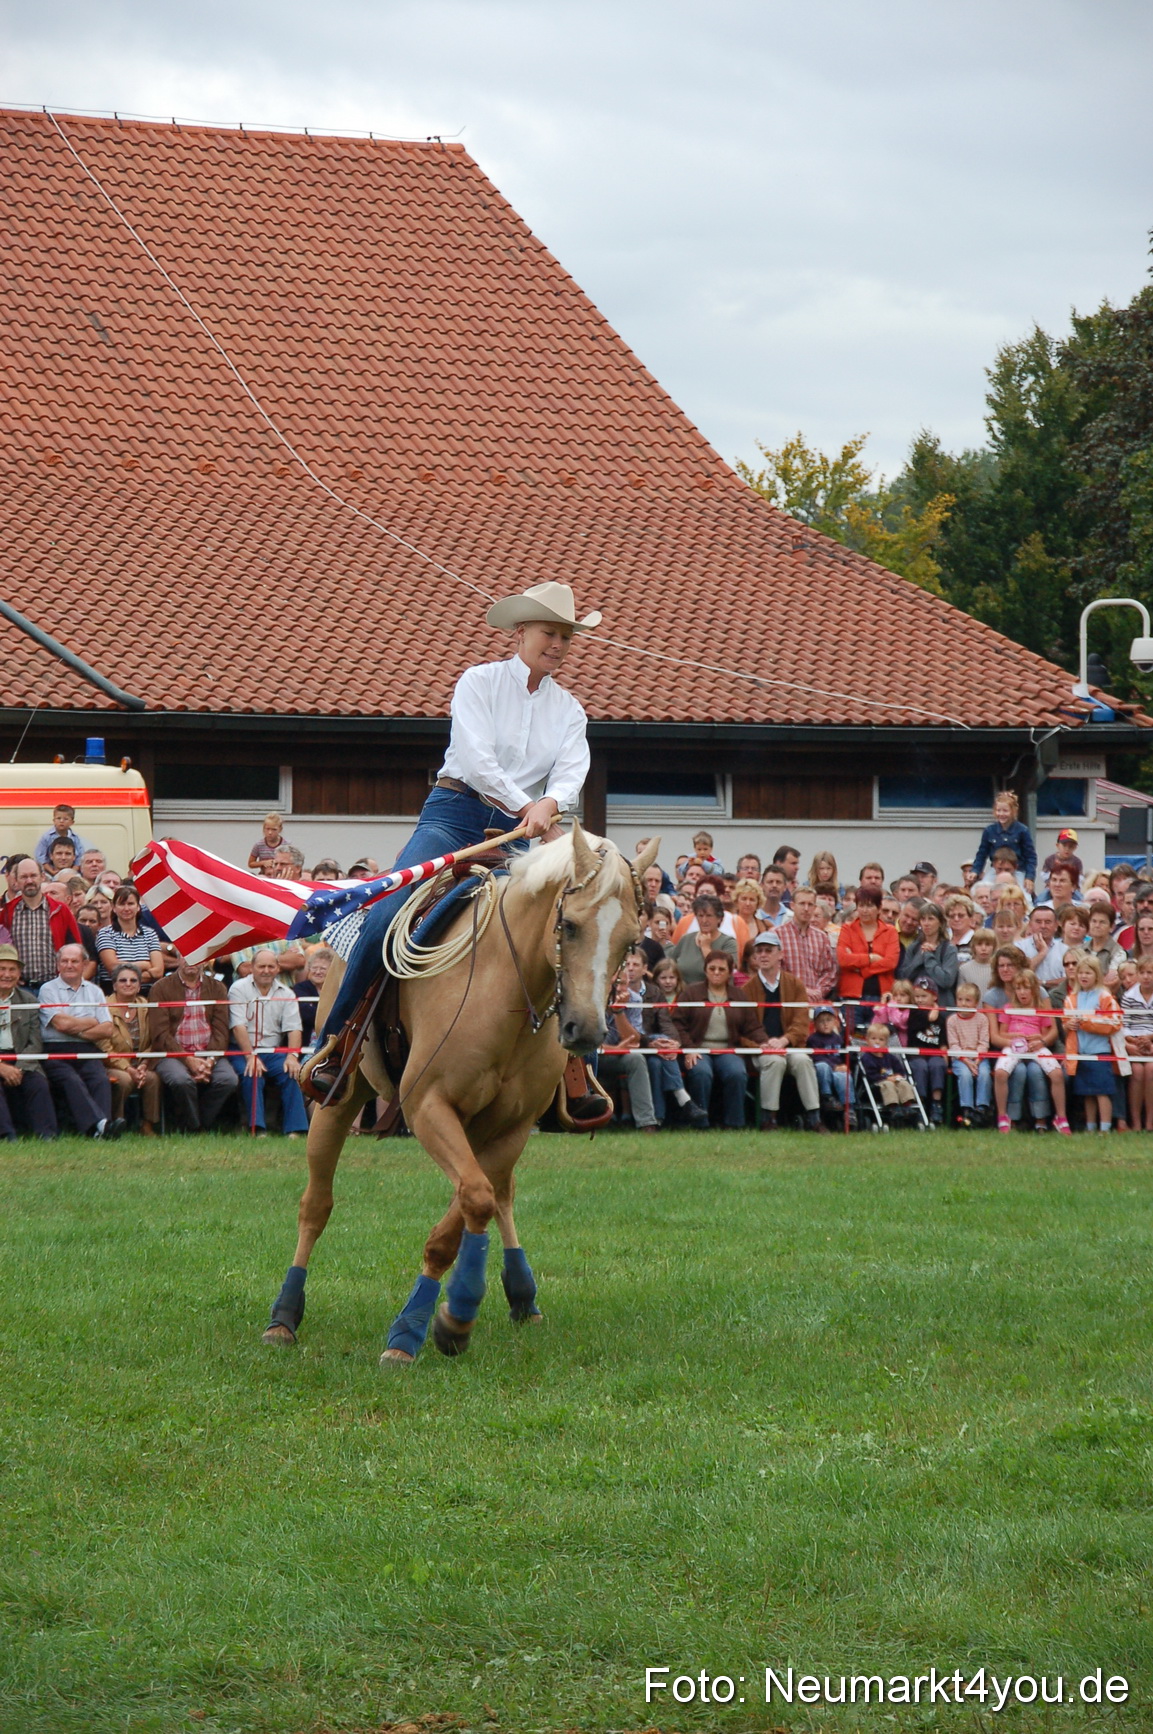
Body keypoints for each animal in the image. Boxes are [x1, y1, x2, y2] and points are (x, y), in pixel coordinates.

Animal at [262, 826, 661, 1364]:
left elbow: (474, 1203)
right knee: (315, 1205)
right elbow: (472, 1199)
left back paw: (523, 1296)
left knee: (502, 1195)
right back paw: (284, 1315)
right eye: (570, 926)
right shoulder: (427, 1106)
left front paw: (451, 1318)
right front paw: (418, 1329)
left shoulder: (510, 1127)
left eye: (631, 940)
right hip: (340, 1100)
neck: (504, 986)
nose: (586, 1030)